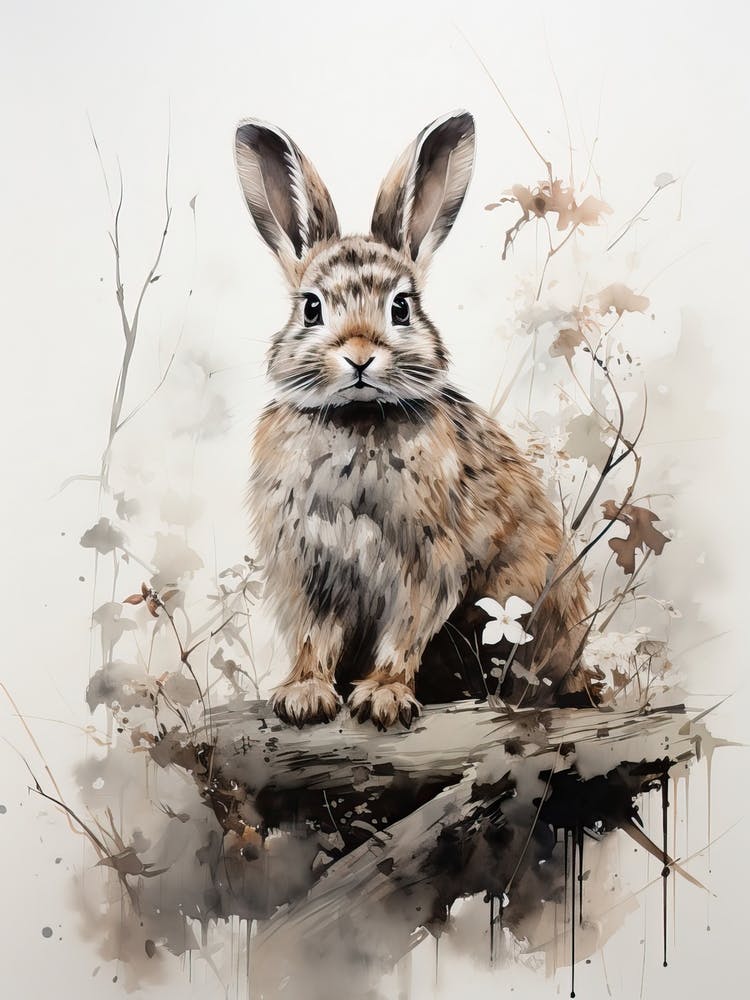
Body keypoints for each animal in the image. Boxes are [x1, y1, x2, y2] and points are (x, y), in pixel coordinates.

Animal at [234, 110, 595, 730]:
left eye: (401, 307)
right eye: (311, 307)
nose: (359, 355)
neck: (357, 418)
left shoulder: (425, 565)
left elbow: (404, 632)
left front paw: (382, 698)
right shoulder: (311, 570)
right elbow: (313, 637)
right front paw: (304, 696)